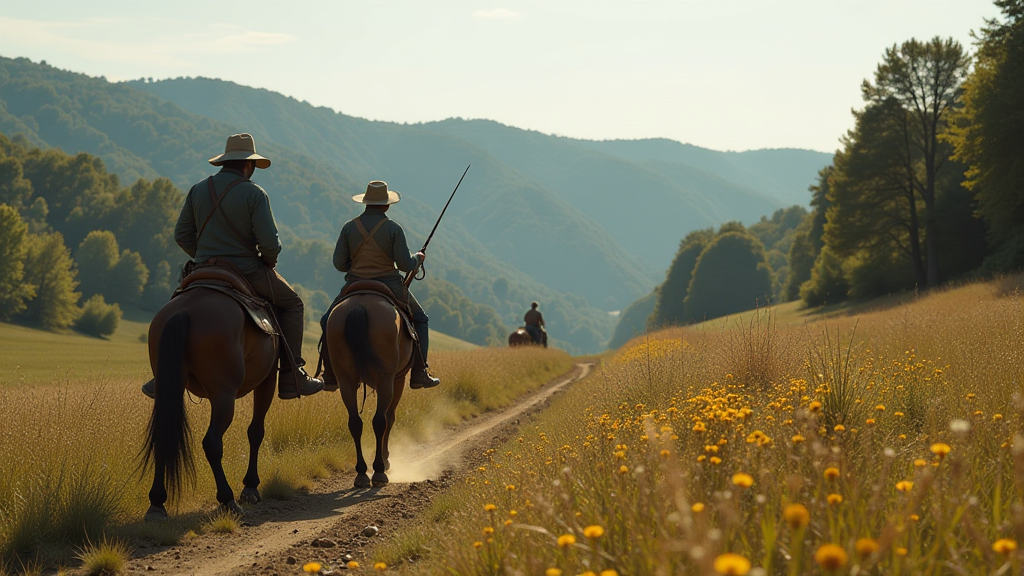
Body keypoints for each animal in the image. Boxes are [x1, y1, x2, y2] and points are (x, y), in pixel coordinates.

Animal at [141, 284, 276, 516]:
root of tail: (185, 311)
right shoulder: (267, 380)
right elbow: (256, 432)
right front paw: (250, 486)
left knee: (162, 436)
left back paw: (157, 503)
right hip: (224, 395)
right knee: (212, 442)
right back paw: (227, 499)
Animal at [323, 286, 411, 483]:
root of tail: (359, 307)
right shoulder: (397, 379)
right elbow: (390, 417)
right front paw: (386, 459)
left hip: (346, 380)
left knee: (355, 422)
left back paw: (362, 472)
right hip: (385, 379)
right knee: (380, 420)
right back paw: (379, 469)